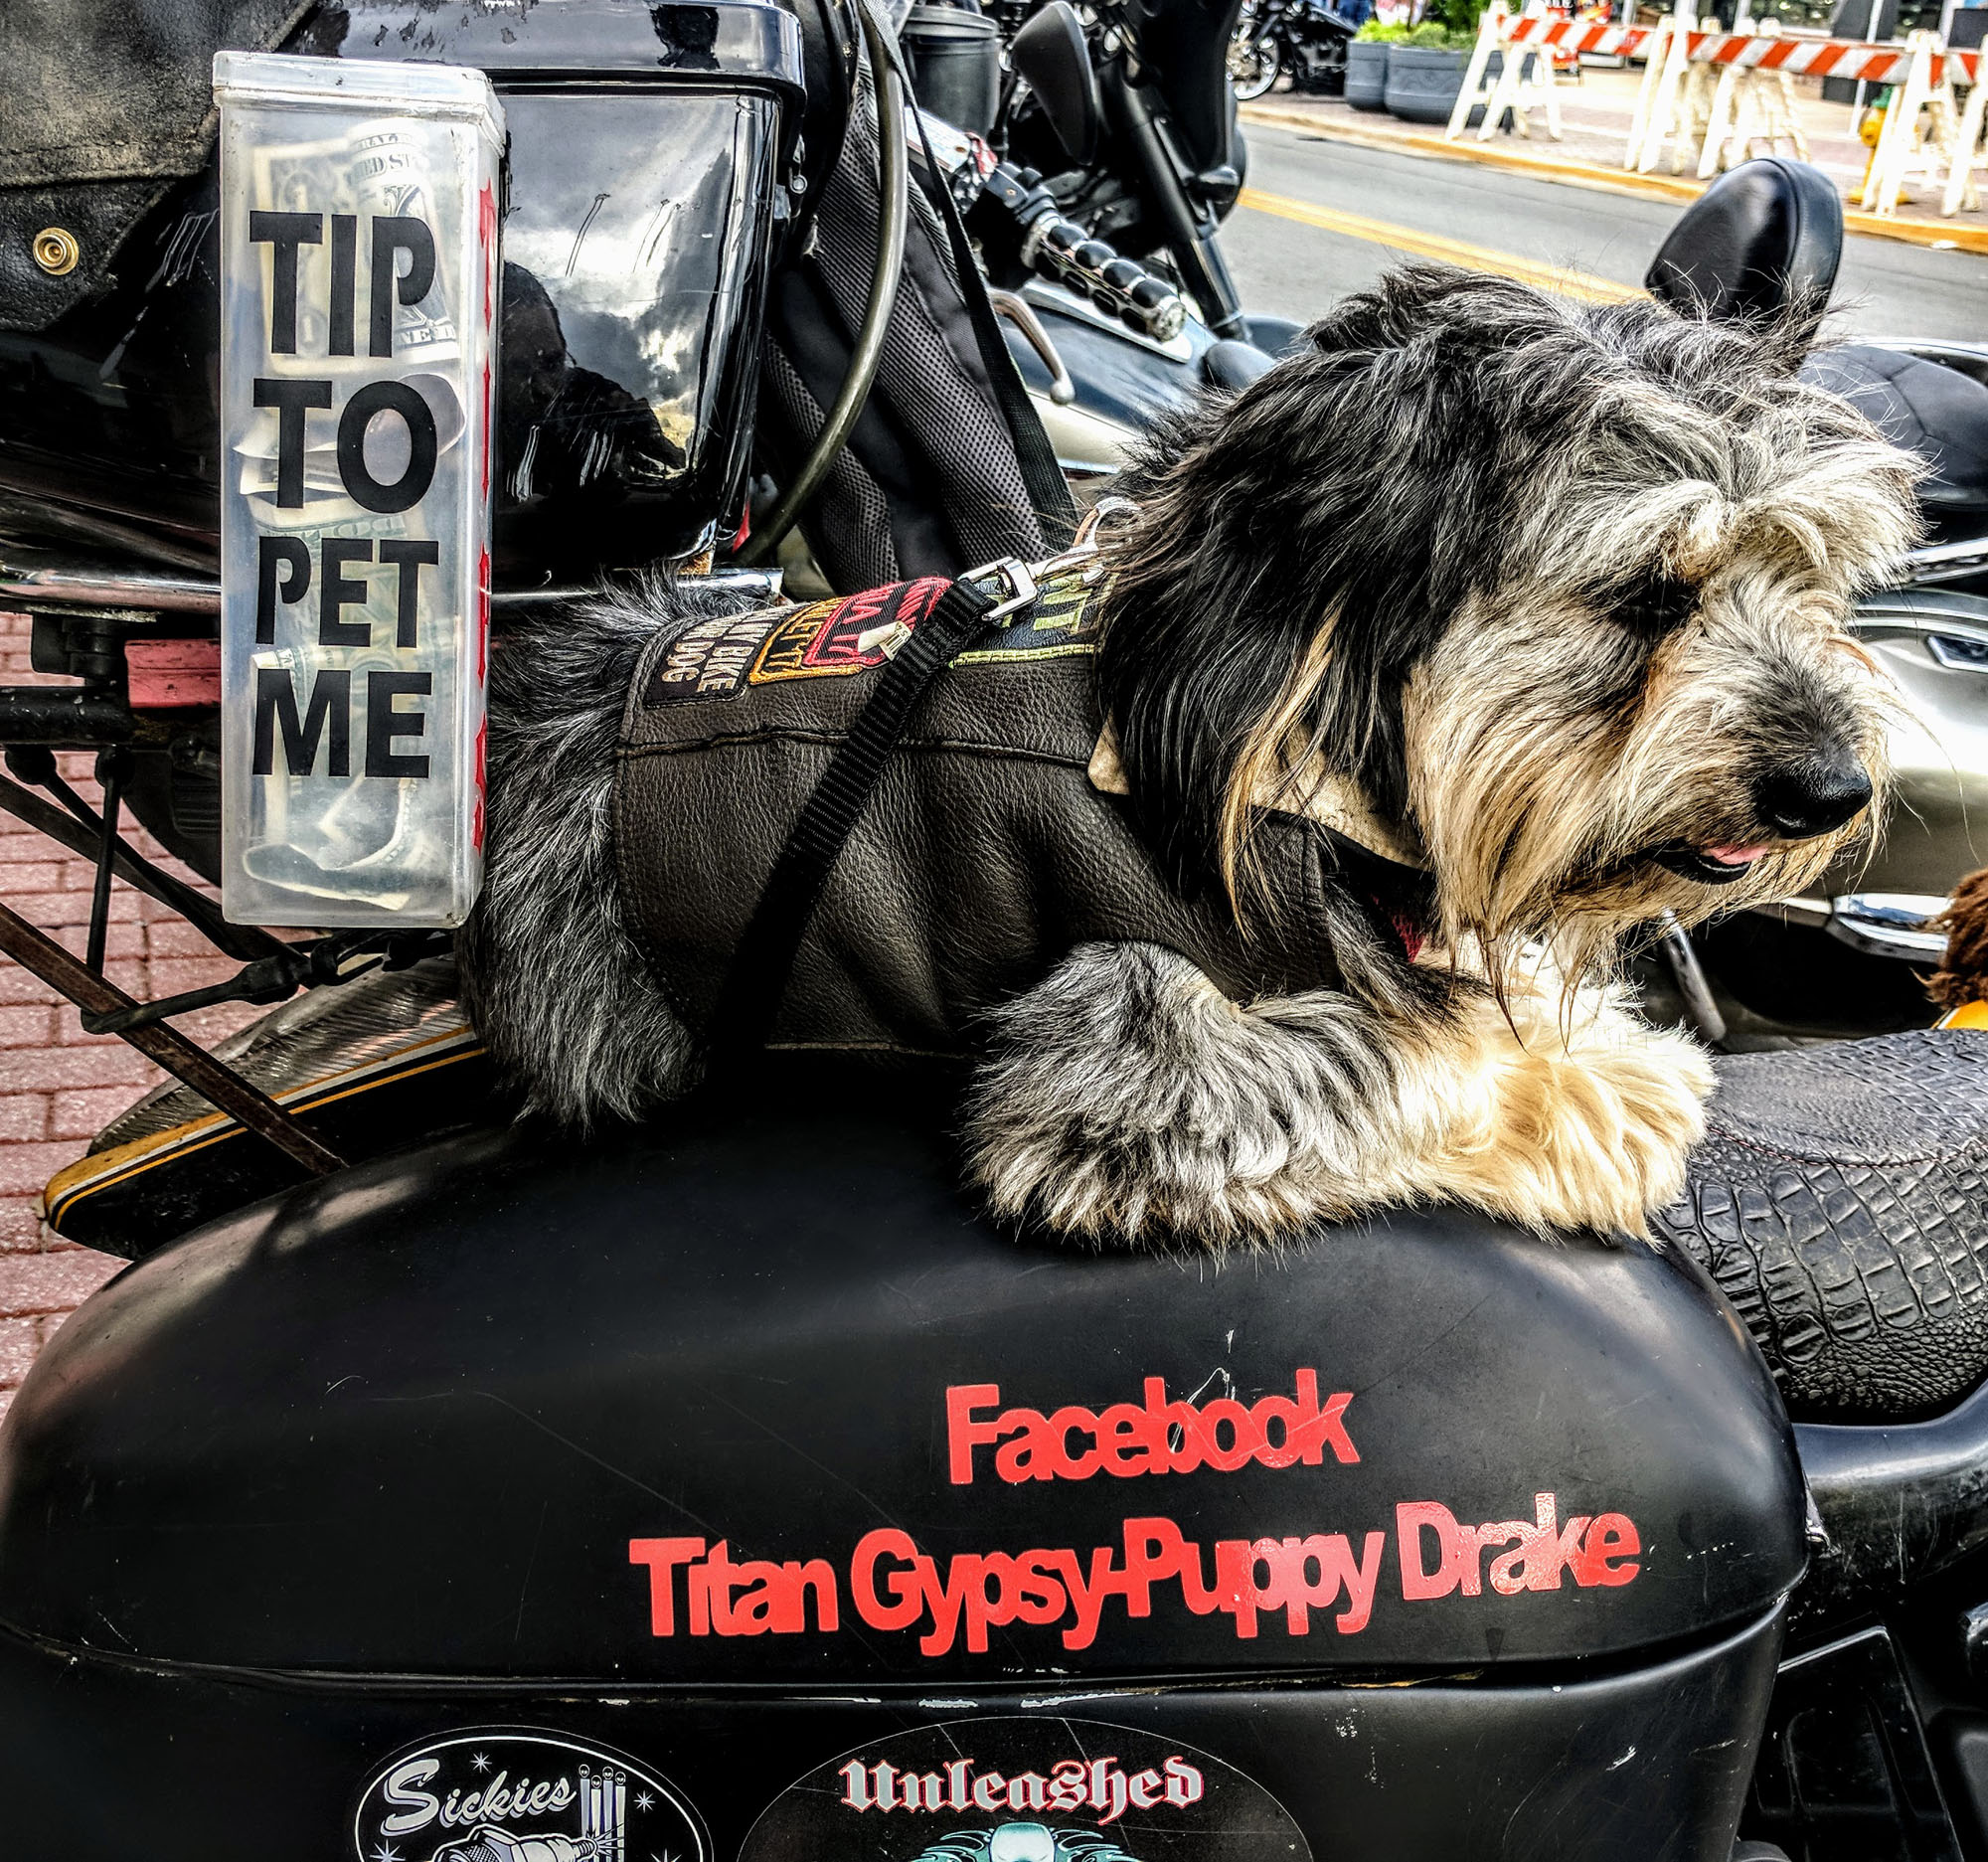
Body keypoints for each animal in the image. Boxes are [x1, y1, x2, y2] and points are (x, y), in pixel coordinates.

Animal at [457, 264, 1916, 1249]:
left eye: (1808, 571)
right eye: (1643, 598)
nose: (1833, 791)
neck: (1287, 731)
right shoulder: (1124, 1056)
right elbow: (1387, 1051)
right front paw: (1603, 1091)